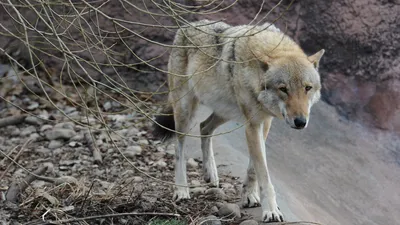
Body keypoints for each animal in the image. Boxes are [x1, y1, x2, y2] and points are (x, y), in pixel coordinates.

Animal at [152, 19, 324, 223]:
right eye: (283, 89)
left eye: (307, 88)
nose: (300, 122)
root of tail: (187, 25)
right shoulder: (252, 125)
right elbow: (263, 173)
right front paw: (271, 210)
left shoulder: (264, 122)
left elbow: (253, 169)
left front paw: (249, 195)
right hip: (185, 111)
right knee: (179, 148)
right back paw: (181, 190)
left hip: (225, 112)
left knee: (204, 127)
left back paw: (211, 173)